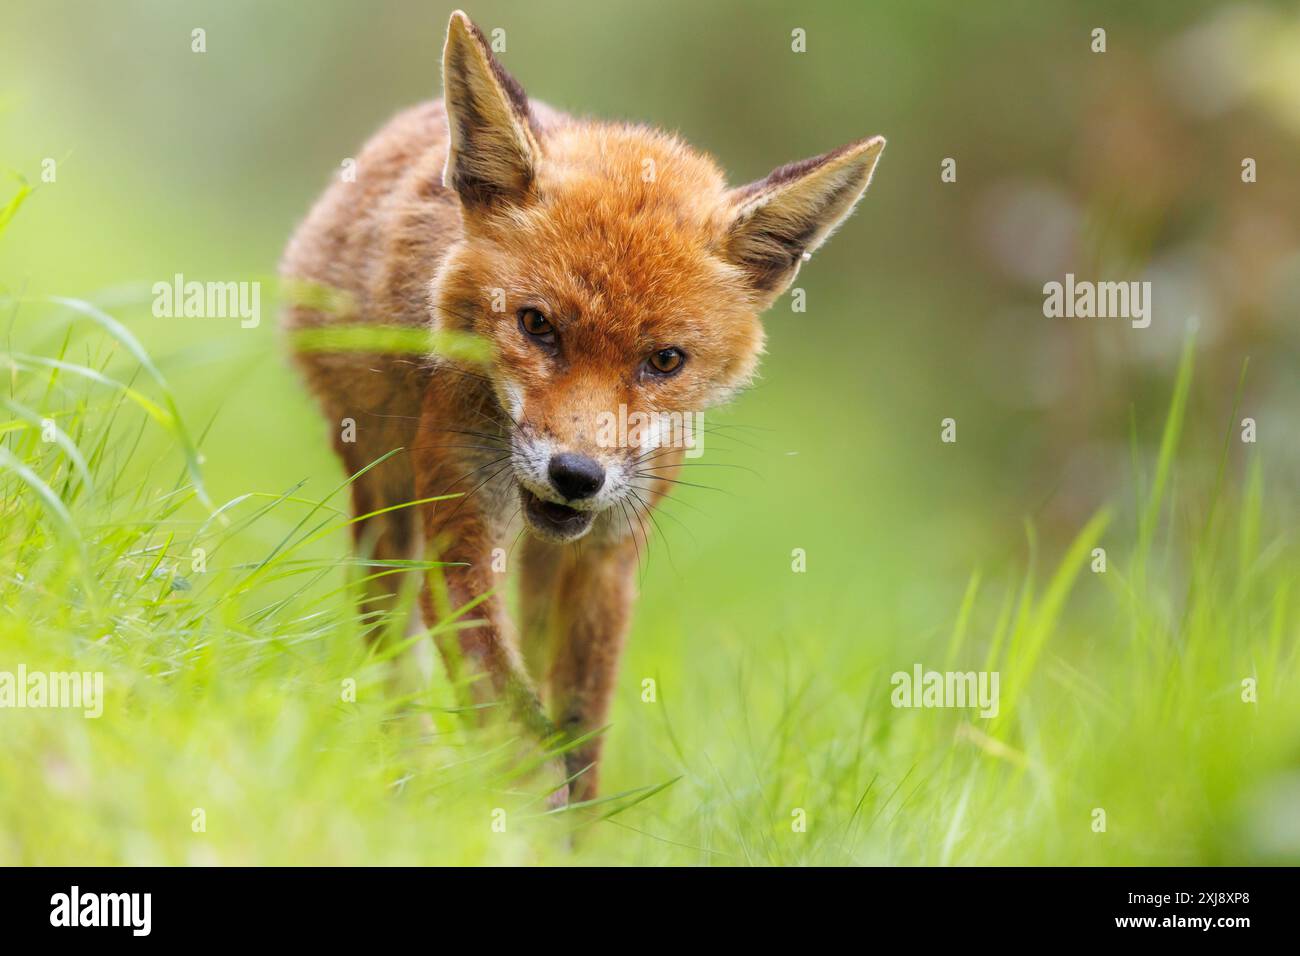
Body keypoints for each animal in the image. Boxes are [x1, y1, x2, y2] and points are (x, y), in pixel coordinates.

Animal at [282, 11, 883, 806]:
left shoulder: (607, 554)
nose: (576, 475)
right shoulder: (460, 527)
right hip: (384, 493)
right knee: (389, 643)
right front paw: (514, 807)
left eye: (664, 361)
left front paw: (563, 820)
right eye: (537, 326)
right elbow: (508, 714)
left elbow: (577, 734)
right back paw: (398, 760)